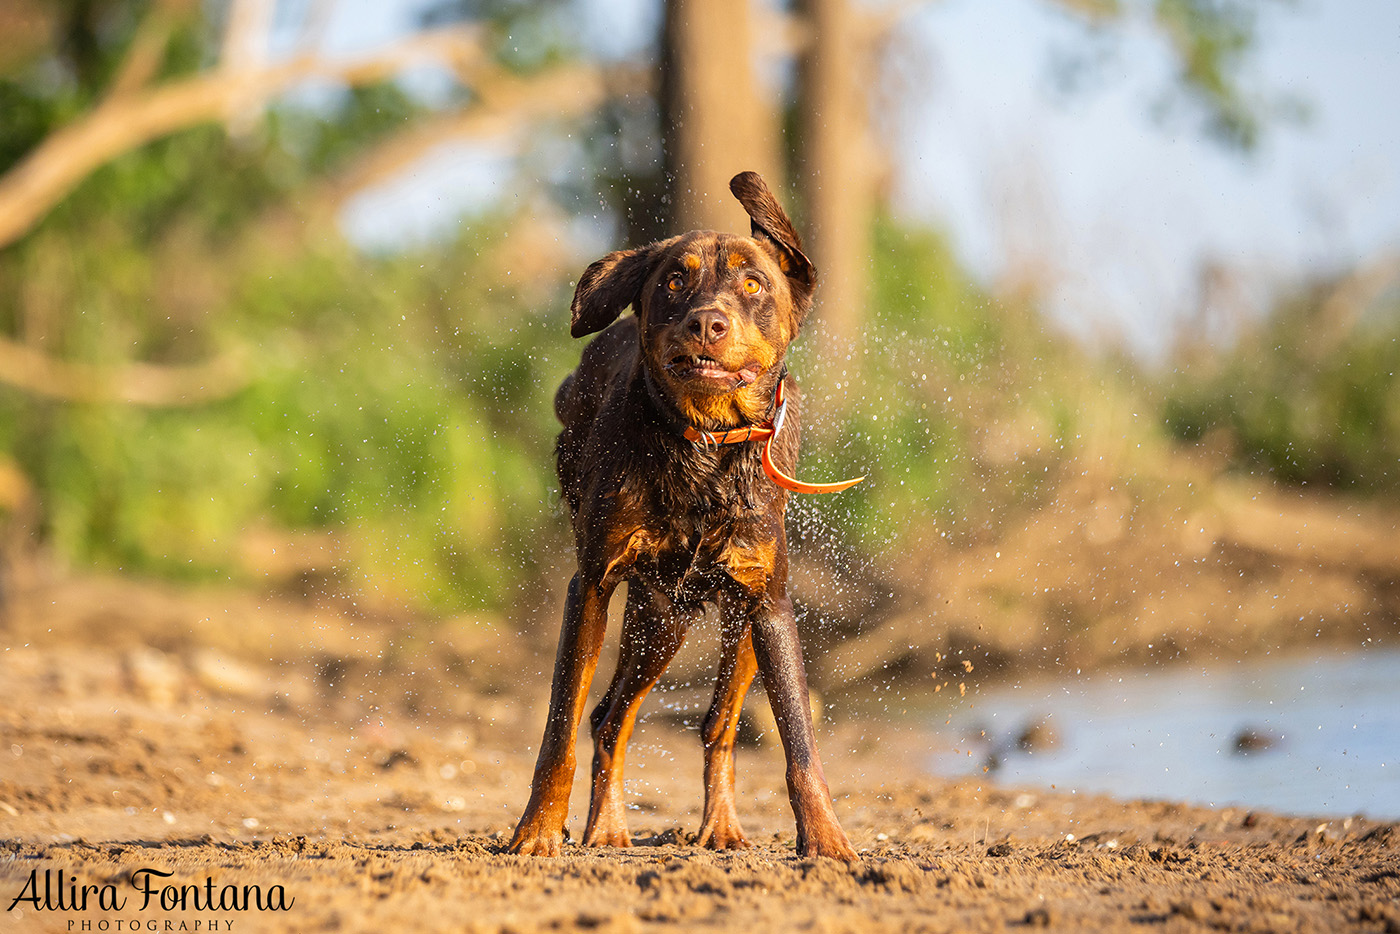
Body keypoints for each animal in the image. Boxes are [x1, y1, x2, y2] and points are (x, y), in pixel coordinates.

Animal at [509, 170, 856, 862]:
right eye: (673, 280)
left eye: (754, 284)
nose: (706, 323)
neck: (704, 446)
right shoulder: (590, 585)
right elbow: (559, 727)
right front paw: (537, 830)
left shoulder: (771, 601)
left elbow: (799, 743)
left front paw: (826, 841)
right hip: (659, 618)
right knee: (608, 716)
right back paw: (606, 826)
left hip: (719, 624)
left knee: (716, 722)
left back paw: (717, 824)